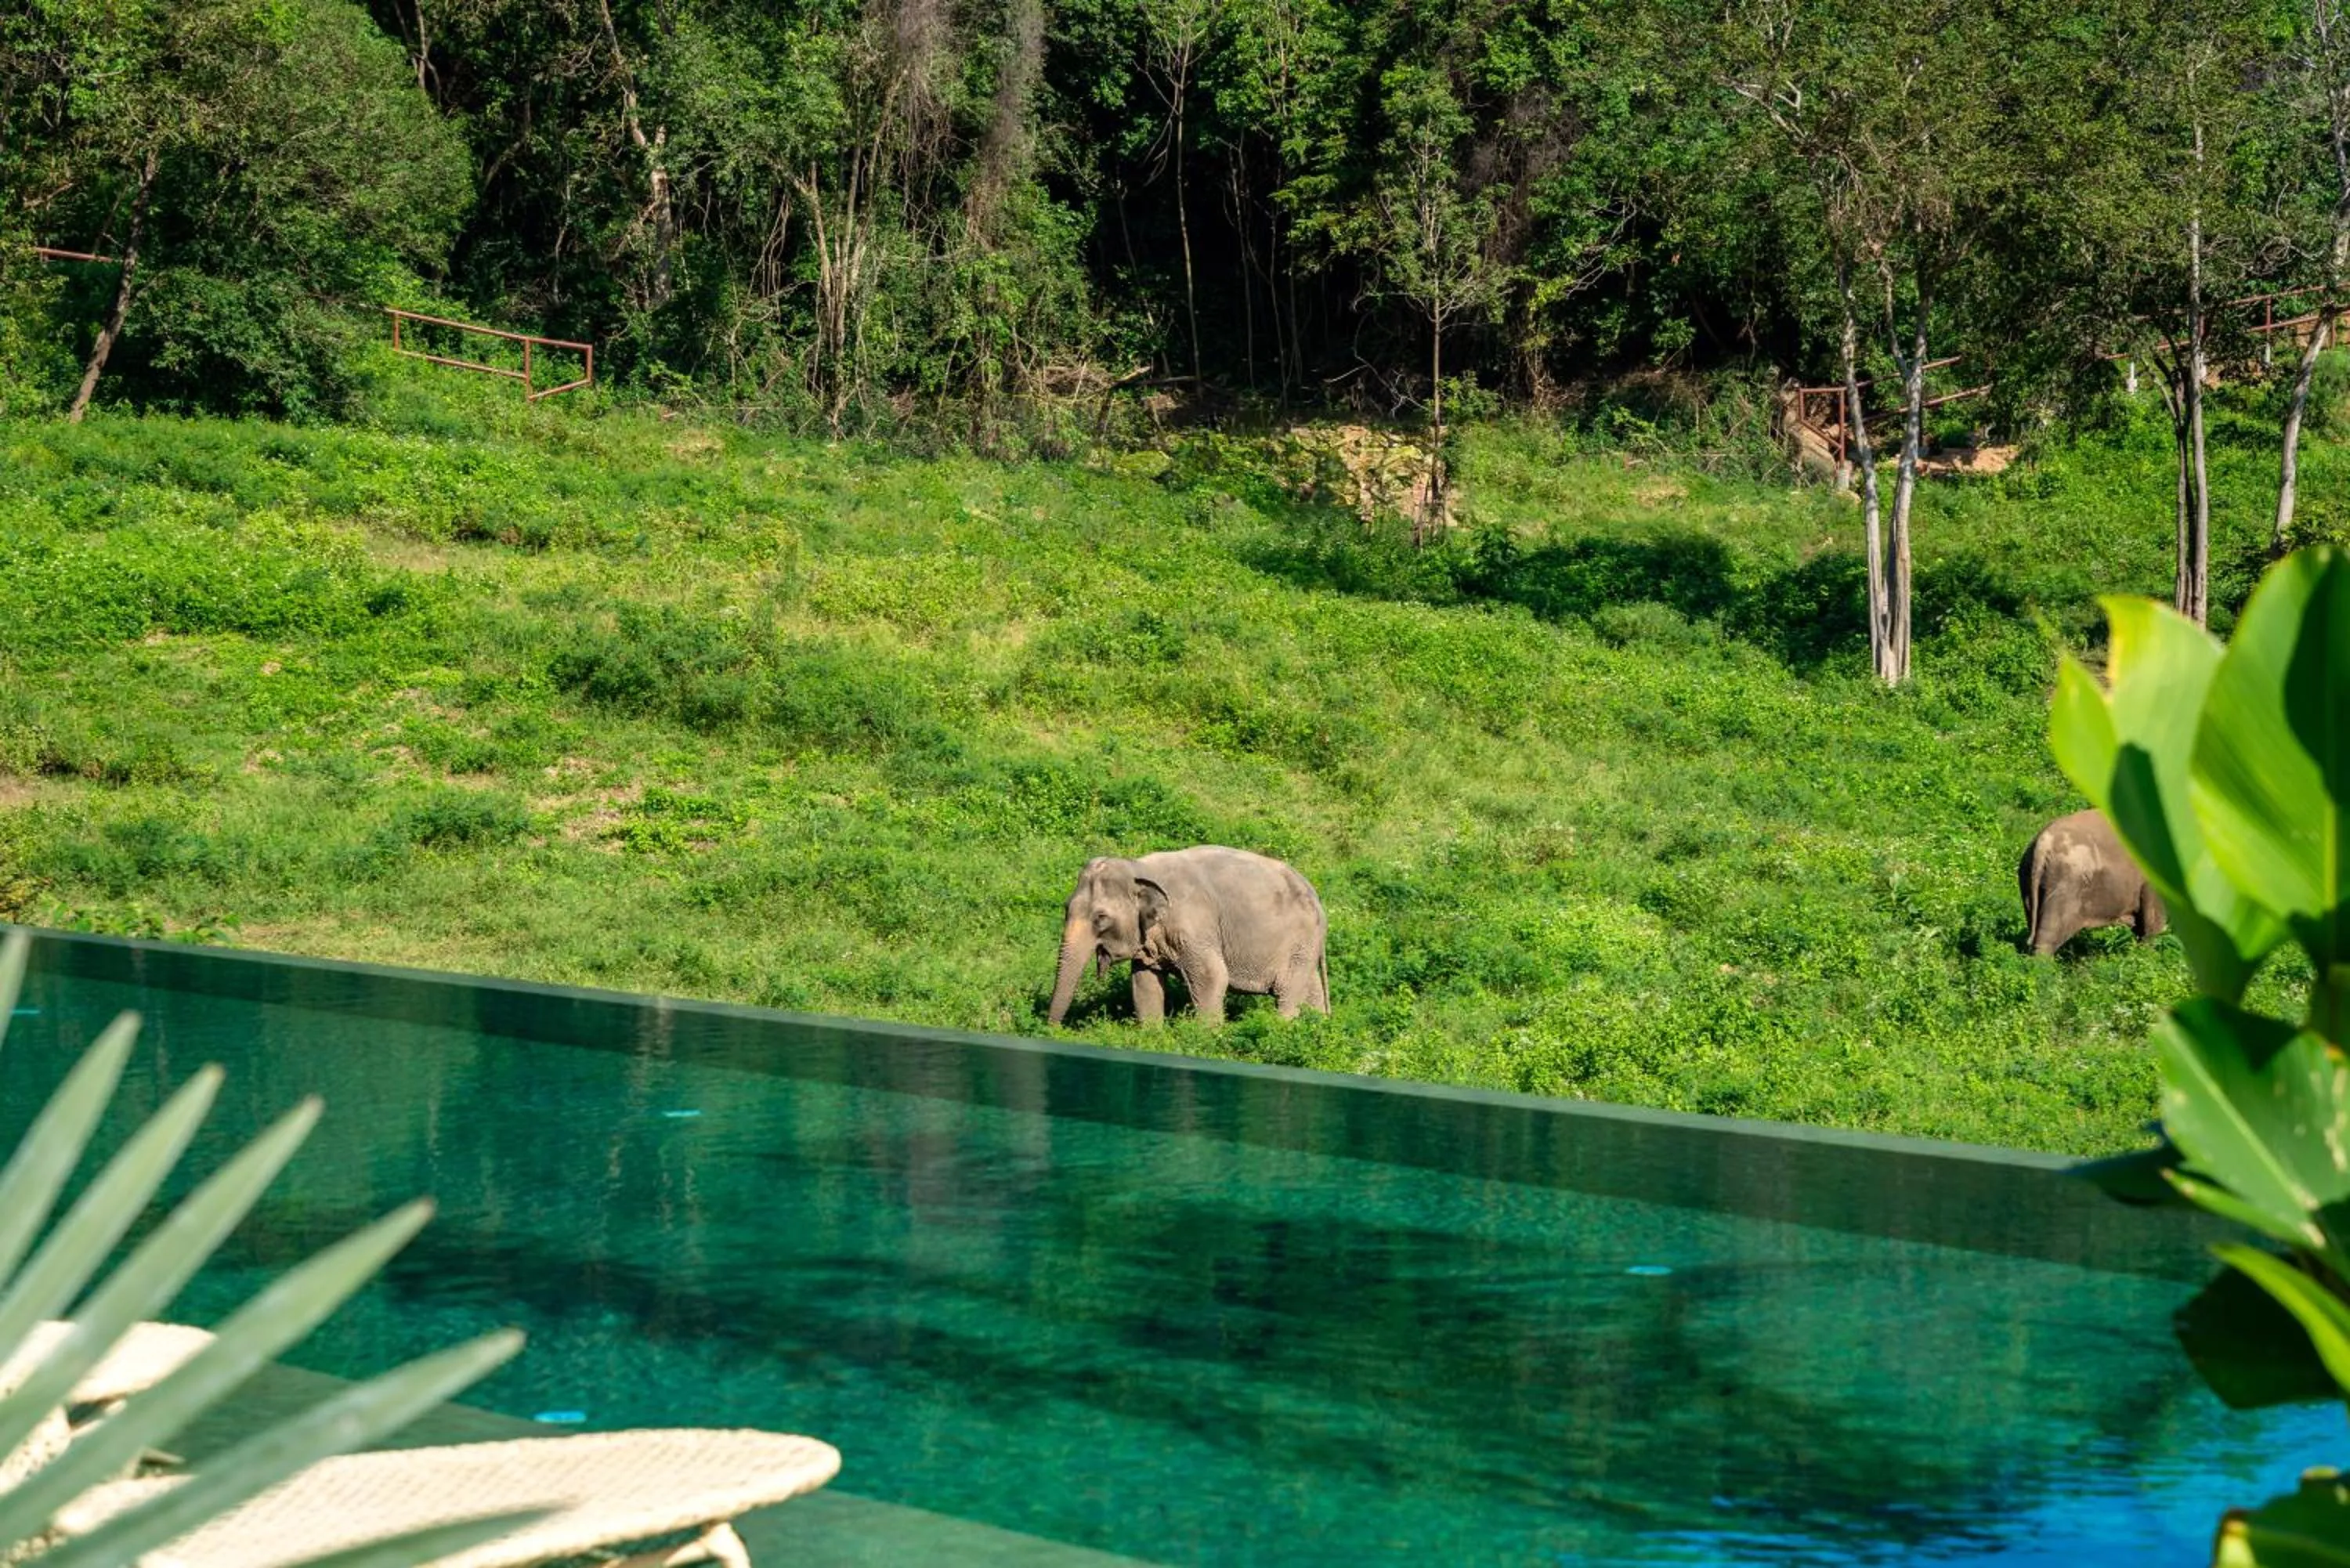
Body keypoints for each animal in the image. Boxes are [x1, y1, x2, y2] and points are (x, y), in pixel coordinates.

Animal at [1047, 847, 1329, 1027]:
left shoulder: (1194, 925)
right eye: (1065, 908)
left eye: (1101, 917)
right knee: (1311, 990)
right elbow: (1144, 982)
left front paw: (1207, 1039)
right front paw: (1152, 1036)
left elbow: (1213, 976)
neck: (1140, 867)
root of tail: (1317, 898)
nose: (1053, 1029)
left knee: (1288, 992)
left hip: (1300, 942)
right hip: (1304, 948)